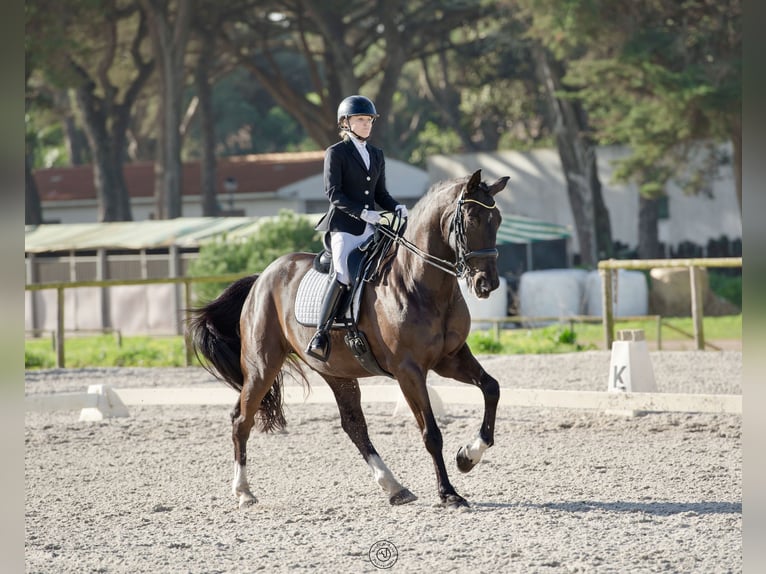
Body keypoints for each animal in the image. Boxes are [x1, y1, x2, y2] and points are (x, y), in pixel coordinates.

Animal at [188, 169, 510, 509]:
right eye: (472, 218)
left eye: (498, 220)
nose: (487, 284)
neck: (420, 284)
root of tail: (262, 277)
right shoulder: (409, 370)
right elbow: (431, 432)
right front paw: (448, 493)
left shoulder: (450, 358)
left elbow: (492, 388)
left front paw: (468, 456)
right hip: (262, 366)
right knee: (242, 419)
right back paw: (244, 492)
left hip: (336, 372)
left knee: (354, 425)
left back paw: (394, 487)